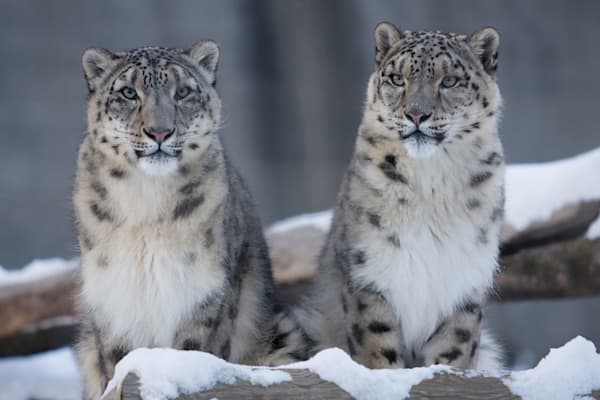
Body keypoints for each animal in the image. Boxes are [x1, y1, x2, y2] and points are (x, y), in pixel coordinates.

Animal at [74, 42, 308, 398]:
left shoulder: (204, 294)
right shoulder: (114, 297)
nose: (159, 131)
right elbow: (116, 365)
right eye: (128, 92)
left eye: (182, 91)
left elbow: (194, 351)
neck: (146, 203)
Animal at [298, 23, 504, 370]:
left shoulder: (465, 281)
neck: (433, 186)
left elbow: (454, 350)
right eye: (397, 78)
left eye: (450, 80)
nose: (417, 115)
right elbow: (377, 346)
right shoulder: (368, 273)